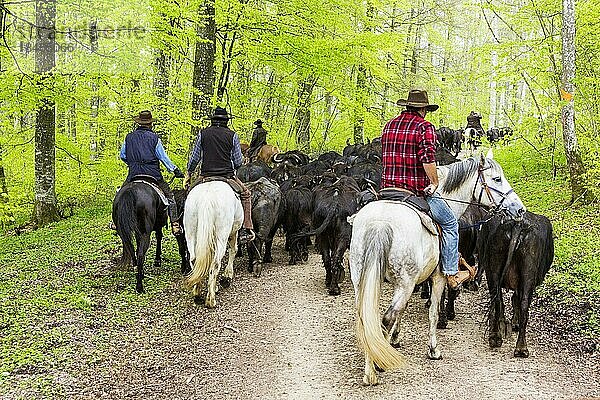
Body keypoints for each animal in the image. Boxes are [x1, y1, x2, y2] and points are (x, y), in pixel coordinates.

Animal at [183, 181, 244, 310]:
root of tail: (207, 197)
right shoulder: (233, 232)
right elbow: (233, 250)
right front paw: (227, 276)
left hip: (190, 232)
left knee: (194, 260)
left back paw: (197, 292)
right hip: (222, 235)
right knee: (216, 263)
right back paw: (211, 300)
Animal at [350, 152, 528, 384]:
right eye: (497, 178)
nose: (519, 209)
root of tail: (380, 223)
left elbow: (401, 311)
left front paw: (395, 340)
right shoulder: (437, 278)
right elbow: (434, 312)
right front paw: (433, 349)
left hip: (363, 280)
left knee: (366, 318)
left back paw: (371, 365)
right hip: (404, 283)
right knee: (385, 318)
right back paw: (374, 368)